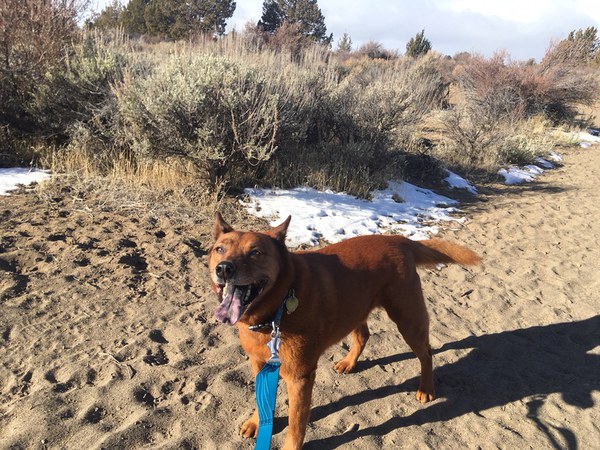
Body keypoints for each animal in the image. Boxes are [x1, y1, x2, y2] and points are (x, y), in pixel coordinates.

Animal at [209, 213, 480, 448]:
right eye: (219, 249)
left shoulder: (299, 378)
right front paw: (257, 422)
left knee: (426, 353)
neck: (277, 309)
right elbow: (261, 399)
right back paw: (349, 362)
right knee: (363, 336)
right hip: (355, 308)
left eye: (256, 253)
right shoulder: (259, 365)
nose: (223, 269)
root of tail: (398, 239)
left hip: (408, 319)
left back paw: (426, 388)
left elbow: (296, 424)